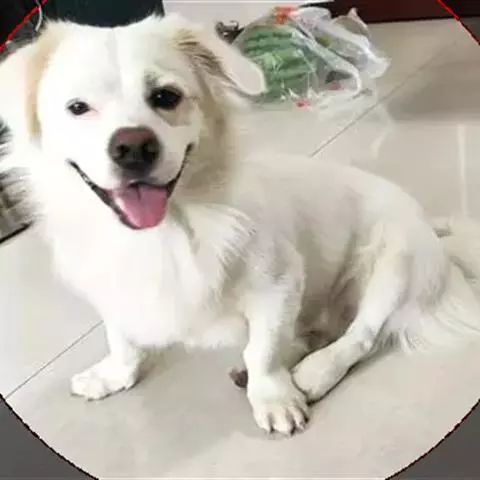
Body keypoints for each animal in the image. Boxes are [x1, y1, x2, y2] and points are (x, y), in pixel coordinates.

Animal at [1, 14, 480, 436]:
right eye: (77, 108)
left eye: (166, 97)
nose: (132, 146)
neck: (166, 232)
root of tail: (435, 235)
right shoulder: (113, 294)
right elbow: (123, 340)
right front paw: (113, 375)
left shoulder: (279, 284)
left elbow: (263, 350)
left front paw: (274, 398)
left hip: (396, 262)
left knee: (361, 335)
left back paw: (314, 372)